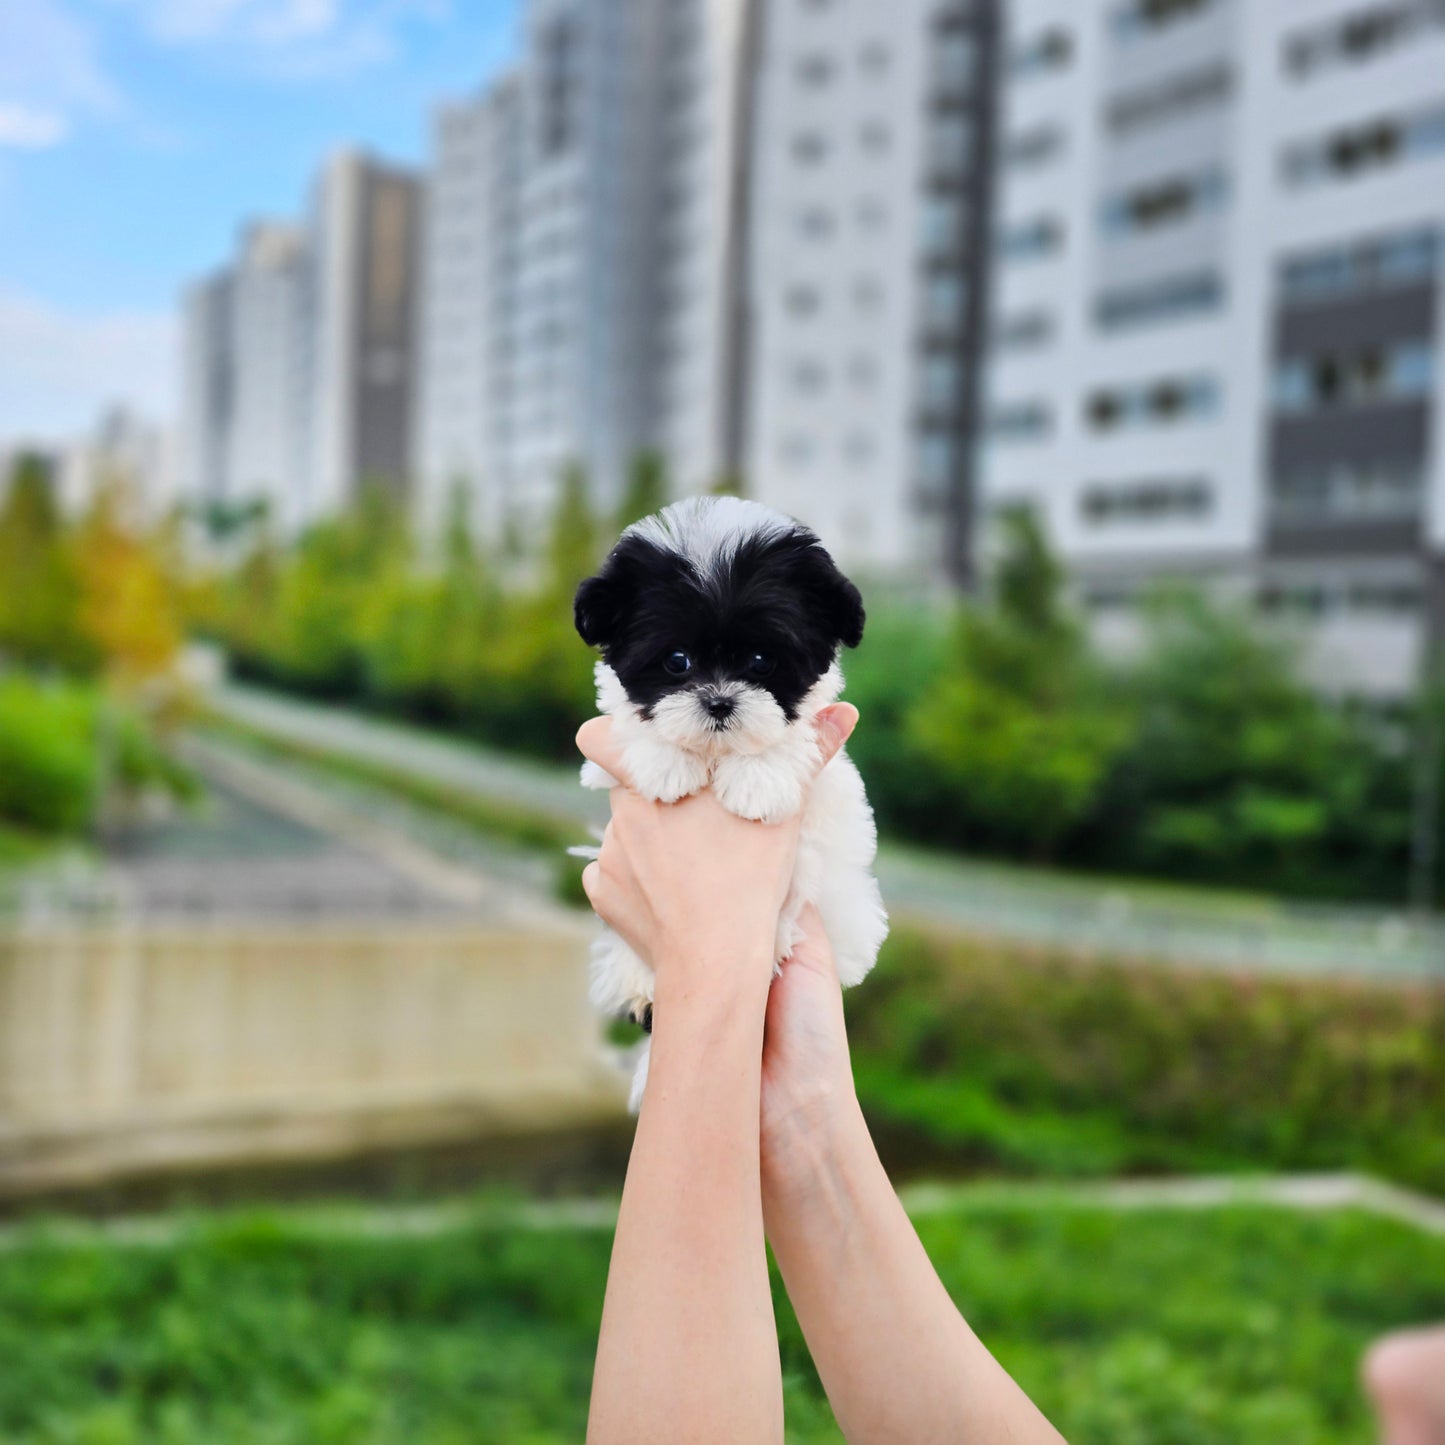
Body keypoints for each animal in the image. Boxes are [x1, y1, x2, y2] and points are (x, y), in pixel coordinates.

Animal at [575, 497, 890, 1103]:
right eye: (676, 661)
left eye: (762, 662)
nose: (720, 702)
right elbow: (629, 726)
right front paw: (666, 762)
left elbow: (788, 739)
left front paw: (758, 780)